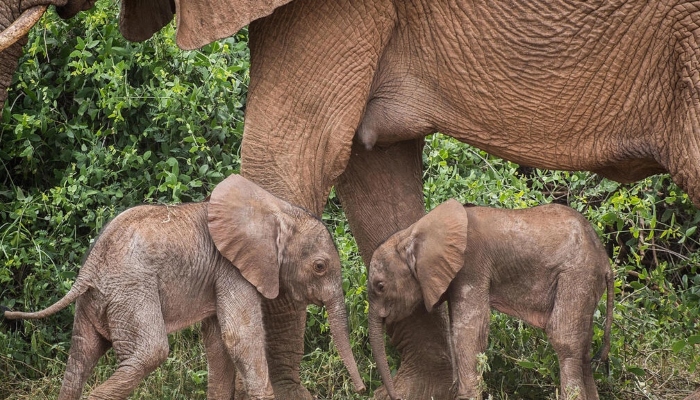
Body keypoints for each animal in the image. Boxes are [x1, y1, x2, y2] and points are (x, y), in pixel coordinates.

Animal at [5, 174, 364, 400]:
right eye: (320, 267)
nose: (361, 390)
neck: (276, 210)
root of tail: (90, 267)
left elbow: (218, 342)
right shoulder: (231, 268)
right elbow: (240, 337)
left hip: (99, 298)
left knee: (80, 356)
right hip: (131, 290)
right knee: (149, 352)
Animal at [366, 199, 612, 400]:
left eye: (380, 286)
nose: (393, 395)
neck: (412, 232)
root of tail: (606, 261)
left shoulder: (471, 265)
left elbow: (468, 331)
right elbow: (457, 328)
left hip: (577, 273)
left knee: (564, 339)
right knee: (584, 348)